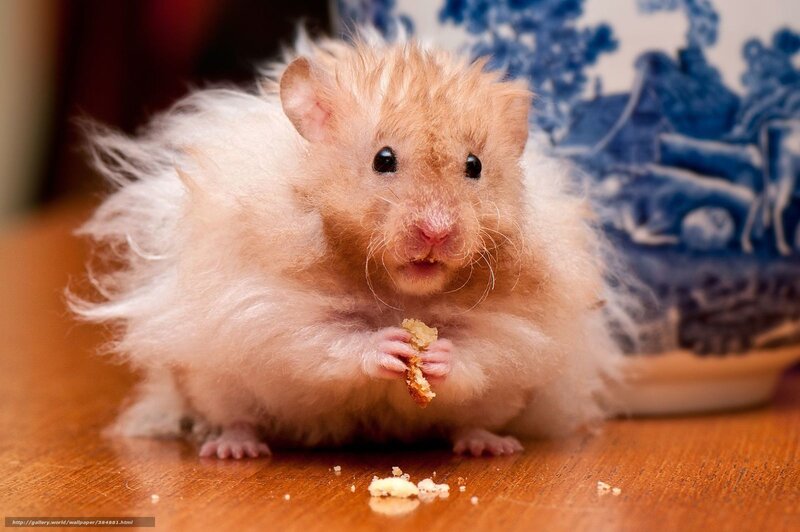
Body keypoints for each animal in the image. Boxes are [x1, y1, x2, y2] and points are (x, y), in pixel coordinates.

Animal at [70, 28, 624, 459]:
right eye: (383, 160)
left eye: (475, 166)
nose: (437, 232)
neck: (400, 292)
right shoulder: (267, 309)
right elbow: (323, 340)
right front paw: (390, 345)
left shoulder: (521, 330)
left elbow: (482, 350)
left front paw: (437, 356)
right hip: (213, 380)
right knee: (236, 415)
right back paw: (233, 448)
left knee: (473, 420)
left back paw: (491, 445)